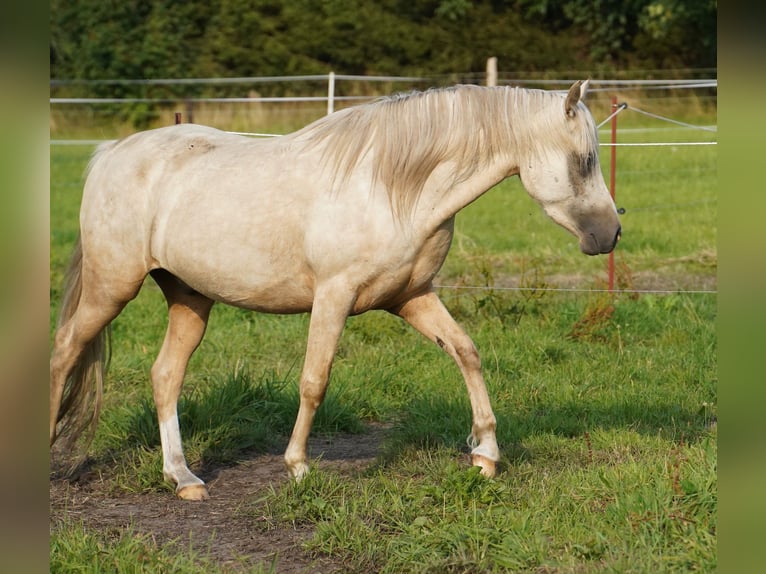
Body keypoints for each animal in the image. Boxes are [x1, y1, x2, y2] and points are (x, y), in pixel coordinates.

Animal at [51, 81, 620, 500]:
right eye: (583, 161)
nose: (611, 234)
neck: (393, 188)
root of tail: (111, 153)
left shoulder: (412, 298)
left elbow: (466, 352)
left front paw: (485, 456)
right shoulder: (334, 296)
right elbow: (314, 380)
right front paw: (298, 467)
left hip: (189, 298)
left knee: (165, 375)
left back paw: (183, 478)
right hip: (111, 288)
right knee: (65, 352)